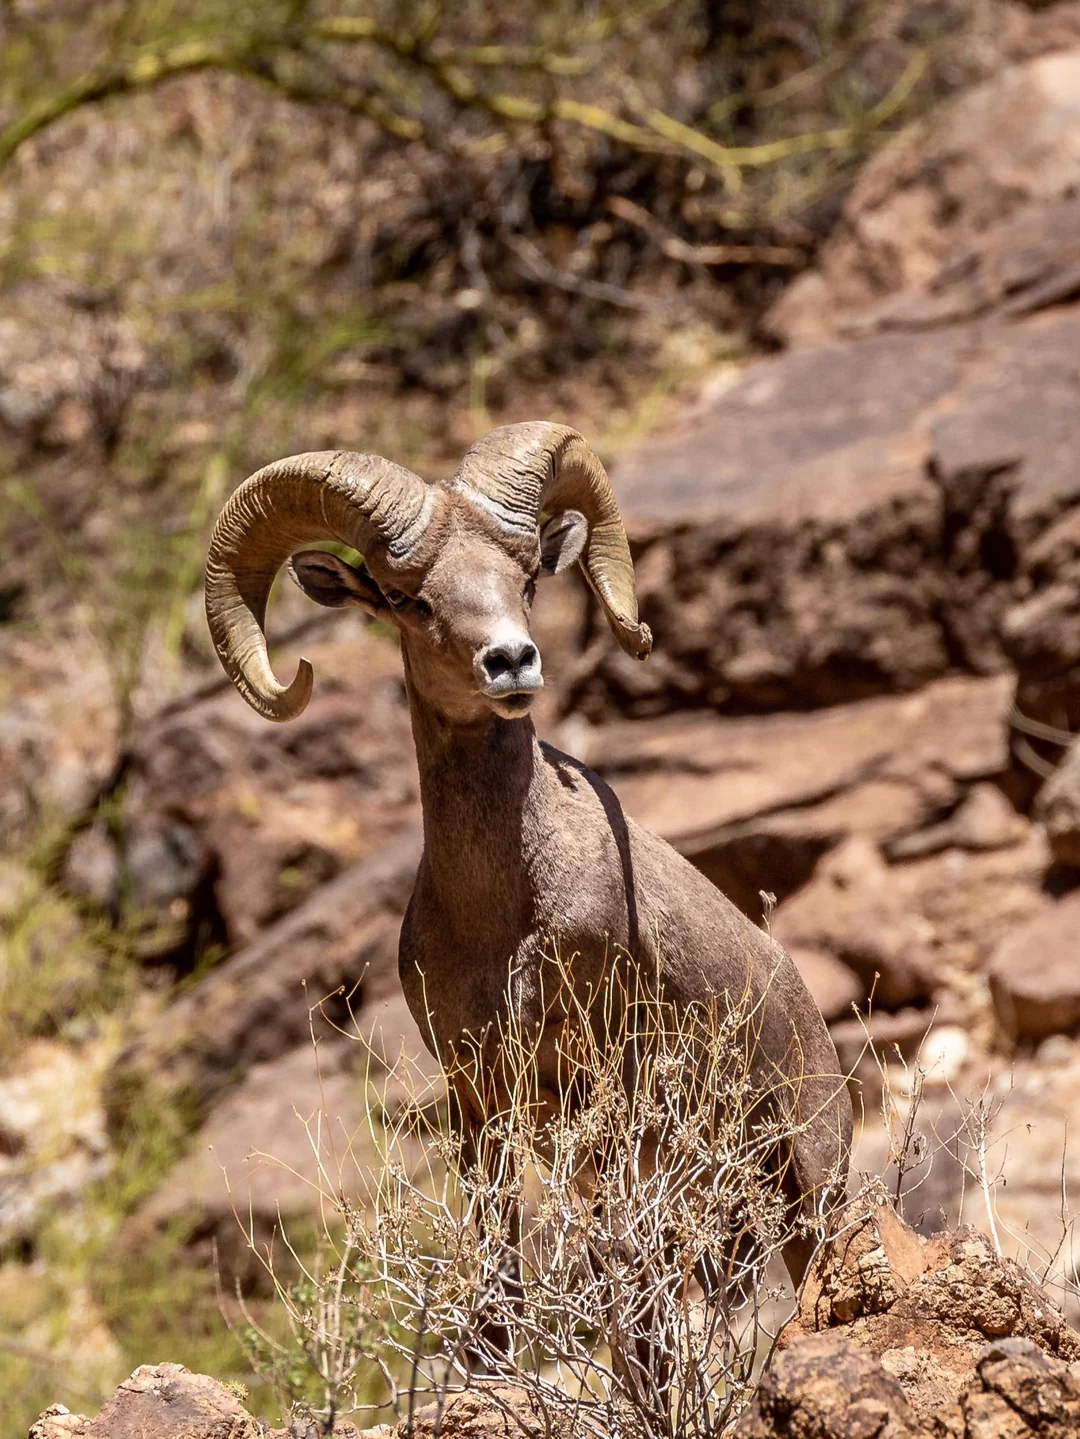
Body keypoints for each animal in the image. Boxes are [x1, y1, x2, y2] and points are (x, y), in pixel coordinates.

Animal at [204, 420, 851, 1289]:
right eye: (411, 600)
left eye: (526, 579)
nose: (512, 661)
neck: (498, 913)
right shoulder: (480, 1105)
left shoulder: (602, 1095)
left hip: (811, 1181)